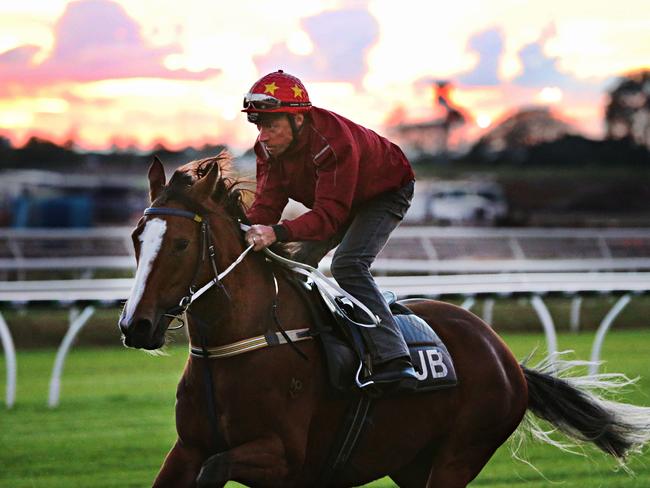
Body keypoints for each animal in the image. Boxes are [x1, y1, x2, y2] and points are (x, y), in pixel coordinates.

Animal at [117, 154, 648, 486]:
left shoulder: (283, 455)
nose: (135, 325)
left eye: (181, 243)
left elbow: (218, 468)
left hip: (461, 453)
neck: (246, 342)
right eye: (138, 236)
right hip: (411, 462)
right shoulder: (187, 449)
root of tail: (506, 357)